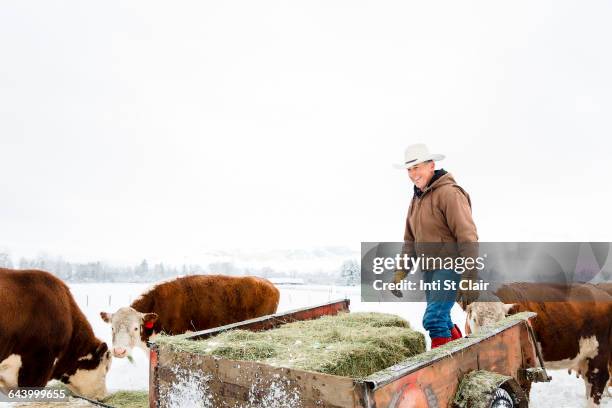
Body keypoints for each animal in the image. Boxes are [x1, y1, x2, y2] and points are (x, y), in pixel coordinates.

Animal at [464, 282, 612, 406]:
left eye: (501, 318)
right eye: (475, 319)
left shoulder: (525, 368)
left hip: (598, 355)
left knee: (598, 382)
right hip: (584, 359)